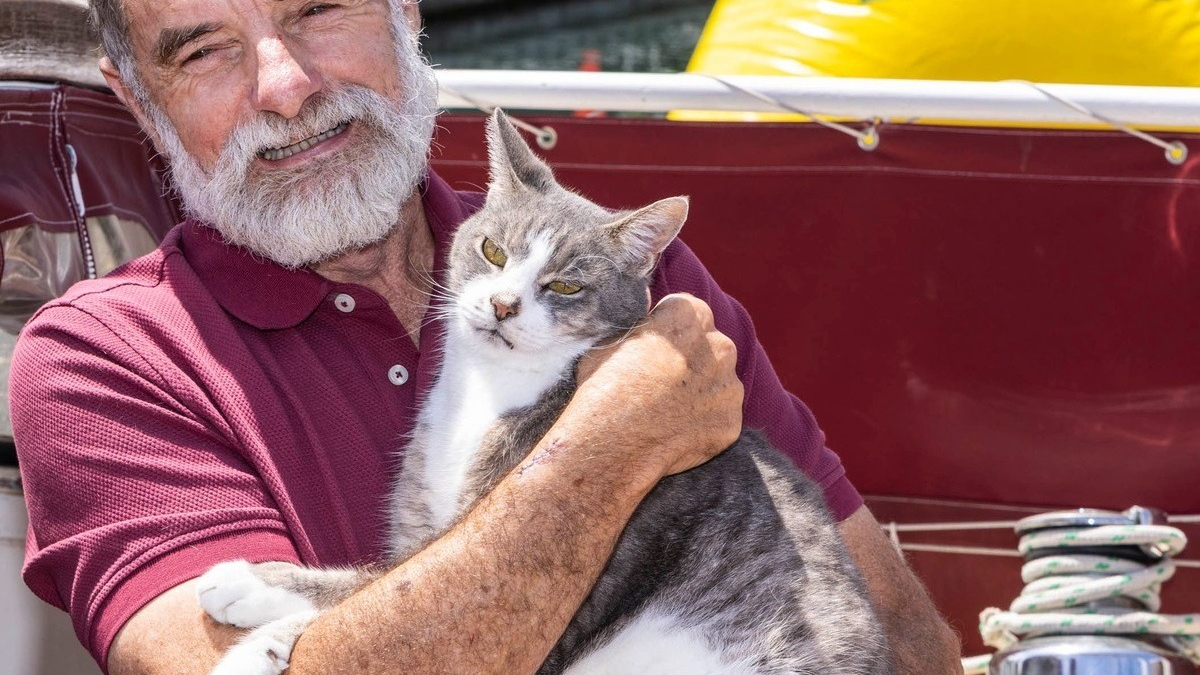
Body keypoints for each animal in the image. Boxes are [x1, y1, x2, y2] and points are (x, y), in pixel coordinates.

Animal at [196, 111, 892, 672]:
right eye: (492, 250)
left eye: (564, 287)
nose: (503, 305)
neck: (489, 387)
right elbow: (389, 575)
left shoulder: (570, 593)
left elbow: (380, 585)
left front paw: (255, 598)